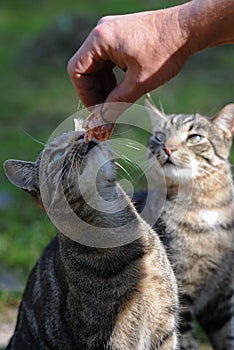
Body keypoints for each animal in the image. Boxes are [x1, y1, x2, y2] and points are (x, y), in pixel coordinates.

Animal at [139, 101, 234, 350]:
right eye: (159, 137)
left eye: (194, 138)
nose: (167, 148)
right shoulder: (179, 297)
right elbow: (186, 342)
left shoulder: (221, 299)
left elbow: (227, 337)